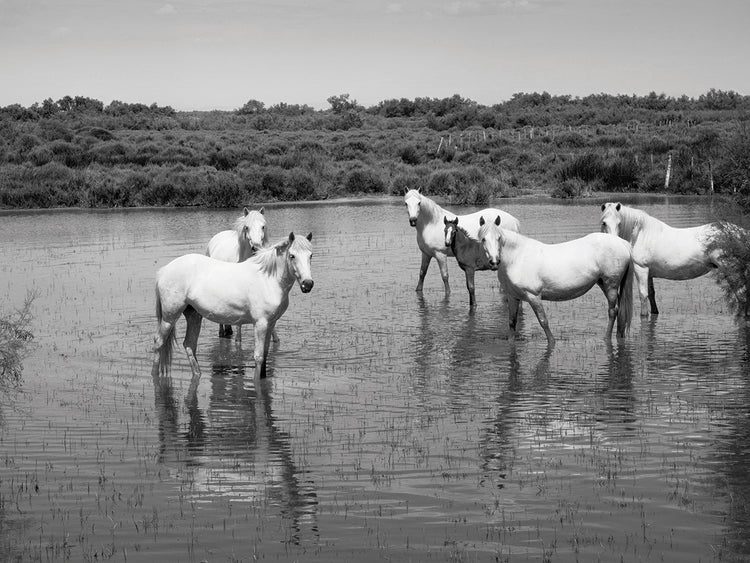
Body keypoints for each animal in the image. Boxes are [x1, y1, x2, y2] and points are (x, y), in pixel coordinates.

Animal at [153, 232, 313, 380]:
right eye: (292, 256)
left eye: (310, 255)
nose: (308, 284)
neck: (268, 280)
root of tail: (164, 270)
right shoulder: (260, 324)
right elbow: (259, 357)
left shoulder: (271, 323)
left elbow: (266, 356)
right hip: (169, 318)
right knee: (158, 342)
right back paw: (155, 374)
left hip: (194, 316)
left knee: (189, 345)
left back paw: (197, 374)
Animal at [479, 215, 634, 345]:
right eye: (483, 239)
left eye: (499, 238)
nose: (494, 262)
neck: (517, 257)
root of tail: (623, 243)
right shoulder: (513, 297)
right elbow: (512, 323)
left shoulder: (533, 296)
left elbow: (543, 321)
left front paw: (552, 342)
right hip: (603, 283)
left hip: (611, 284)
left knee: (612, 311)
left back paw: (606, 338)